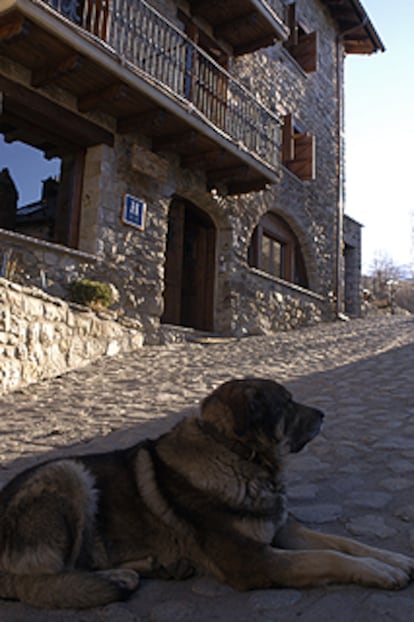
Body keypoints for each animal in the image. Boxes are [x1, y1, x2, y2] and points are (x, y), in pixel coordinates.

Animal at [0, 380, 412, 608]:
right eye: (287, 403)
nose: (324, 414)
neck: (235, 452)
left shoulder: (281, 529)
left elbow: (342, 542)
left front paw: (392, 558)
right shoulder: (252, 561)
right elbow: (327, 557)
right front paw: (380, 571)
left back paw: (160, 567)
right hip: (68, 473)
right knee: (40, 581)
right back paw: (121, 579)